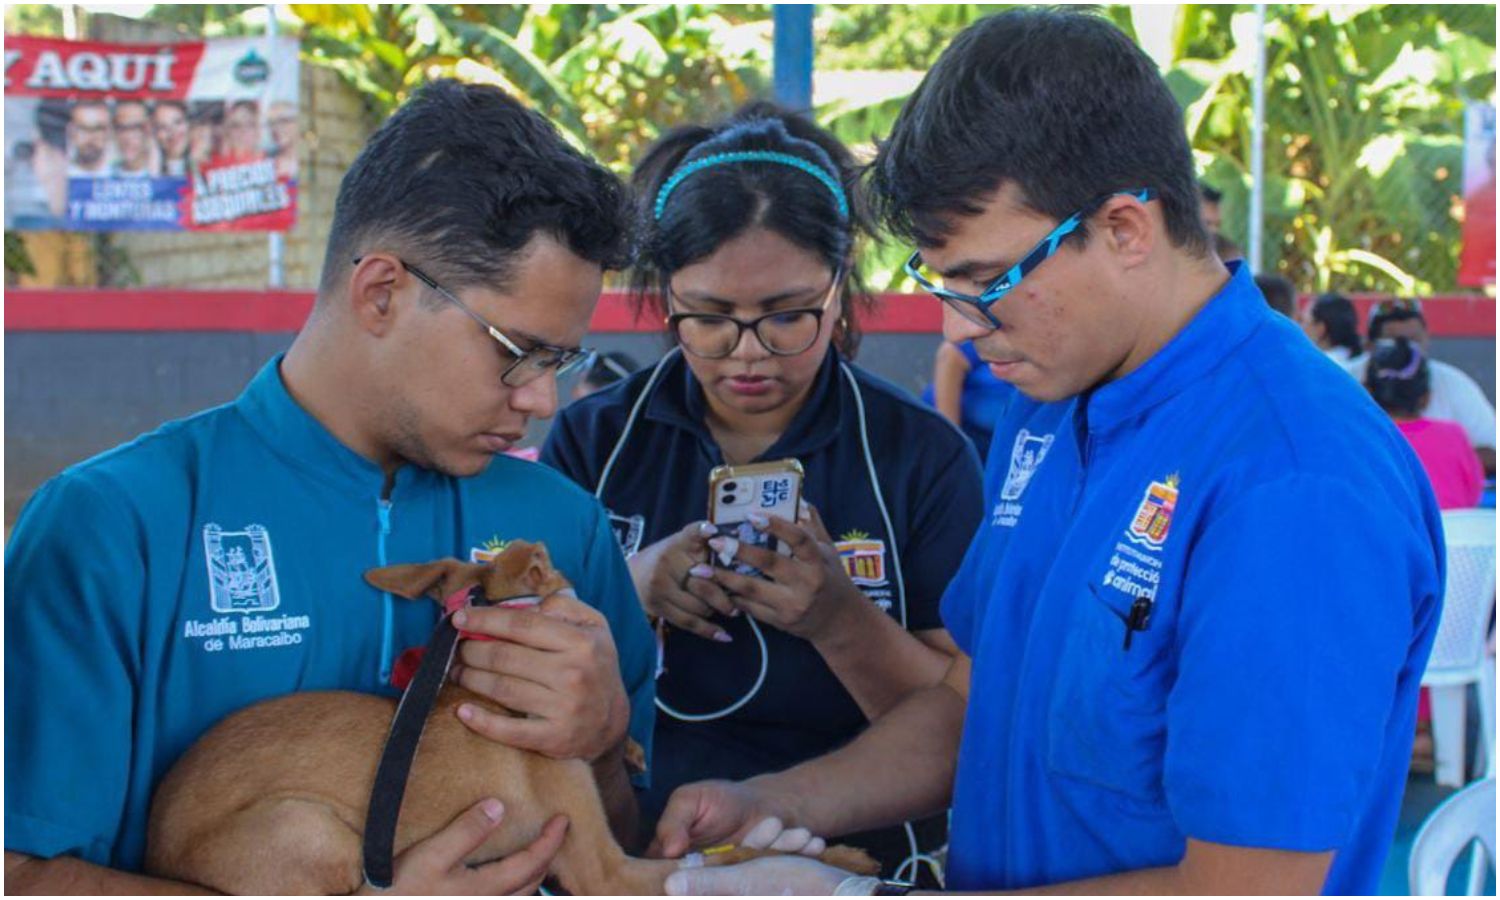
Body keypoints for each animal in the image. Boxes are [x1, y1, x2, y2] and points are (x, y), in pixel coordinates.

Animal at [144, 540, 876, 894]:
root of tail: (153, 851)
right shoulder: (604, 872)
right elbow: (739, 856)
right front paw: (835, 860)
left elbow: (717, 848)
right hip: (309, 830)